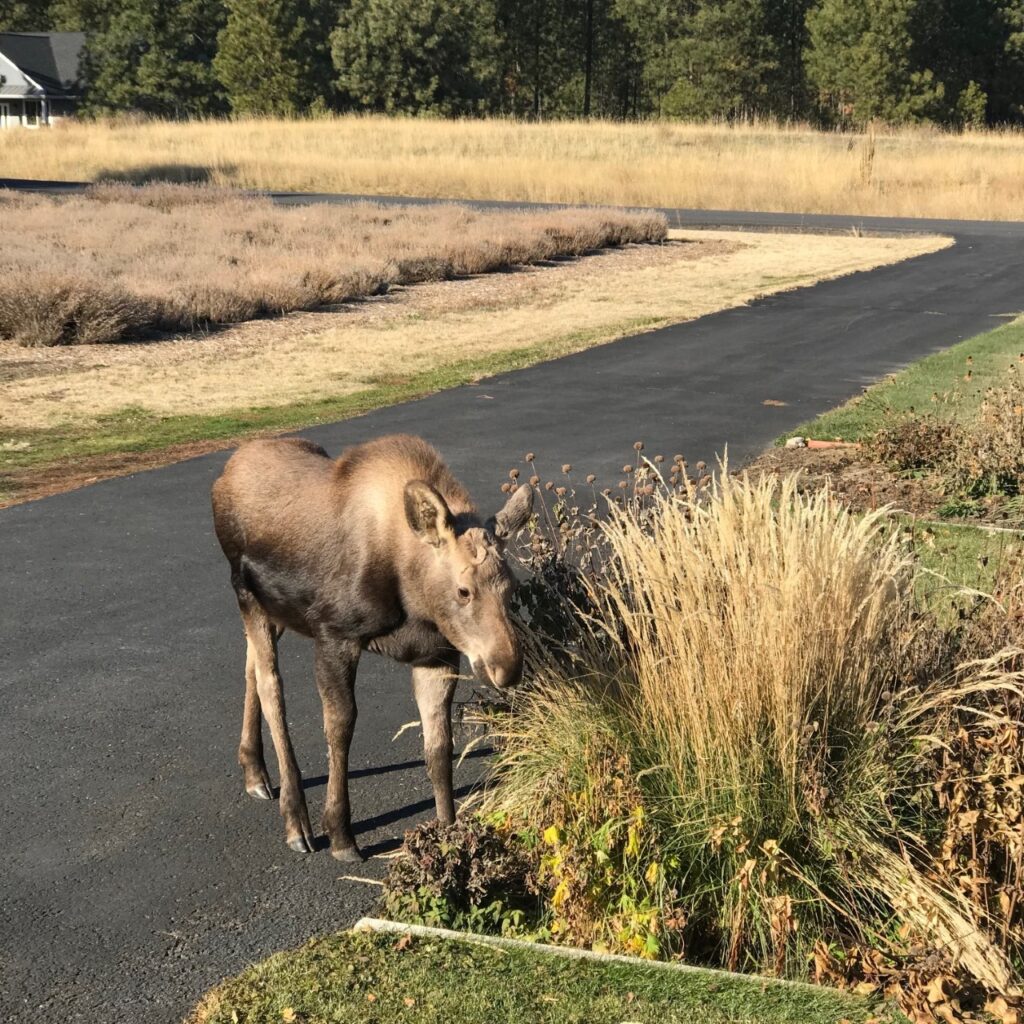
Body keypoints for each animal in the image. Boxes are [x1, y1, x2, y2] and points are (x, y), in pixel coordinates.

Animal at [211, 434, 533, 862]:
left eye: (511, 588)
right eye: (464, 591)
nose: (506, 666)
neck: (411, 592)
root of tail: (226, 473)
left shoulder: (436, 655)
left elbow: (439, 746)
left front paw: (448, 835)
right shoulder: (335, 635)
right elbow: (340, 727)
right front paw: (341, 834)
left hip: (274, 610)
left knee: (251, 667)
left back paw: (254, 770)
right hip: (247, 595)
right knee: (270, 685)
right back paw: (296, 819)